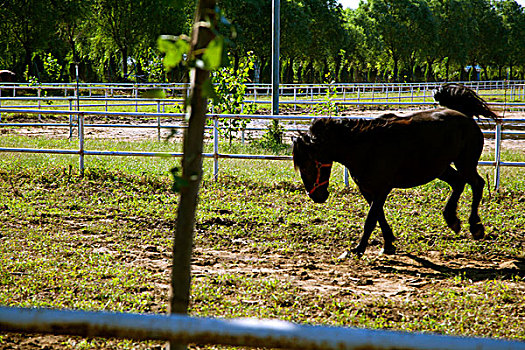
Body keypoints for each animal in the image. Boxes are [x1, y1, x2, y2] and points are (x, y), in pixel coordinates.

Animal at [292, 83, 498, 256]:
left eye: (308, 165)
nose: (316, 196)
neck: (366, 146)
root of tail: (464, 115)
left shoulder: (382, 188)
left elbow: (371, 219)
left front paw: (359, 249)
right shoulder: (367, 189)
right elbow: (378, 215)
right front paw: (388, 243)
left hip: (465, 162)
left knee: (477, 184)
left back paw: (475, 227)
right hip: (440, 168)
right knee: (458, 183)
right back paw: (453, 220)